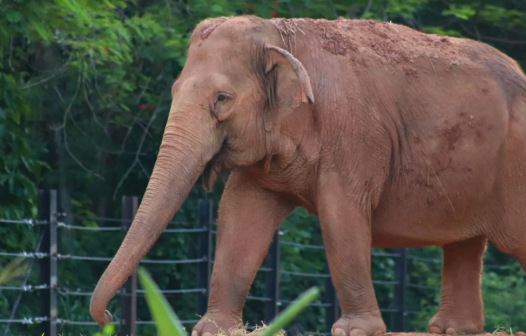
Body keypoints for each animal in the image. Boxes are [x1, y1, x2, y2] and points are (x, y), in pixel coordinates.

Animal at [89, 15, 526, 336]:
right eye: (175, 90)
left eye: (222, 99)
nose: (108, 318)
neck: (280, 33)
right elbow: (238, 216)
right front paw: (212, 330)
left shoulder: (353, 134)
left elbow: (341, 215)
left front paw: (354, 331)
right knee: (464, 245)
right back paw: (451, 330)